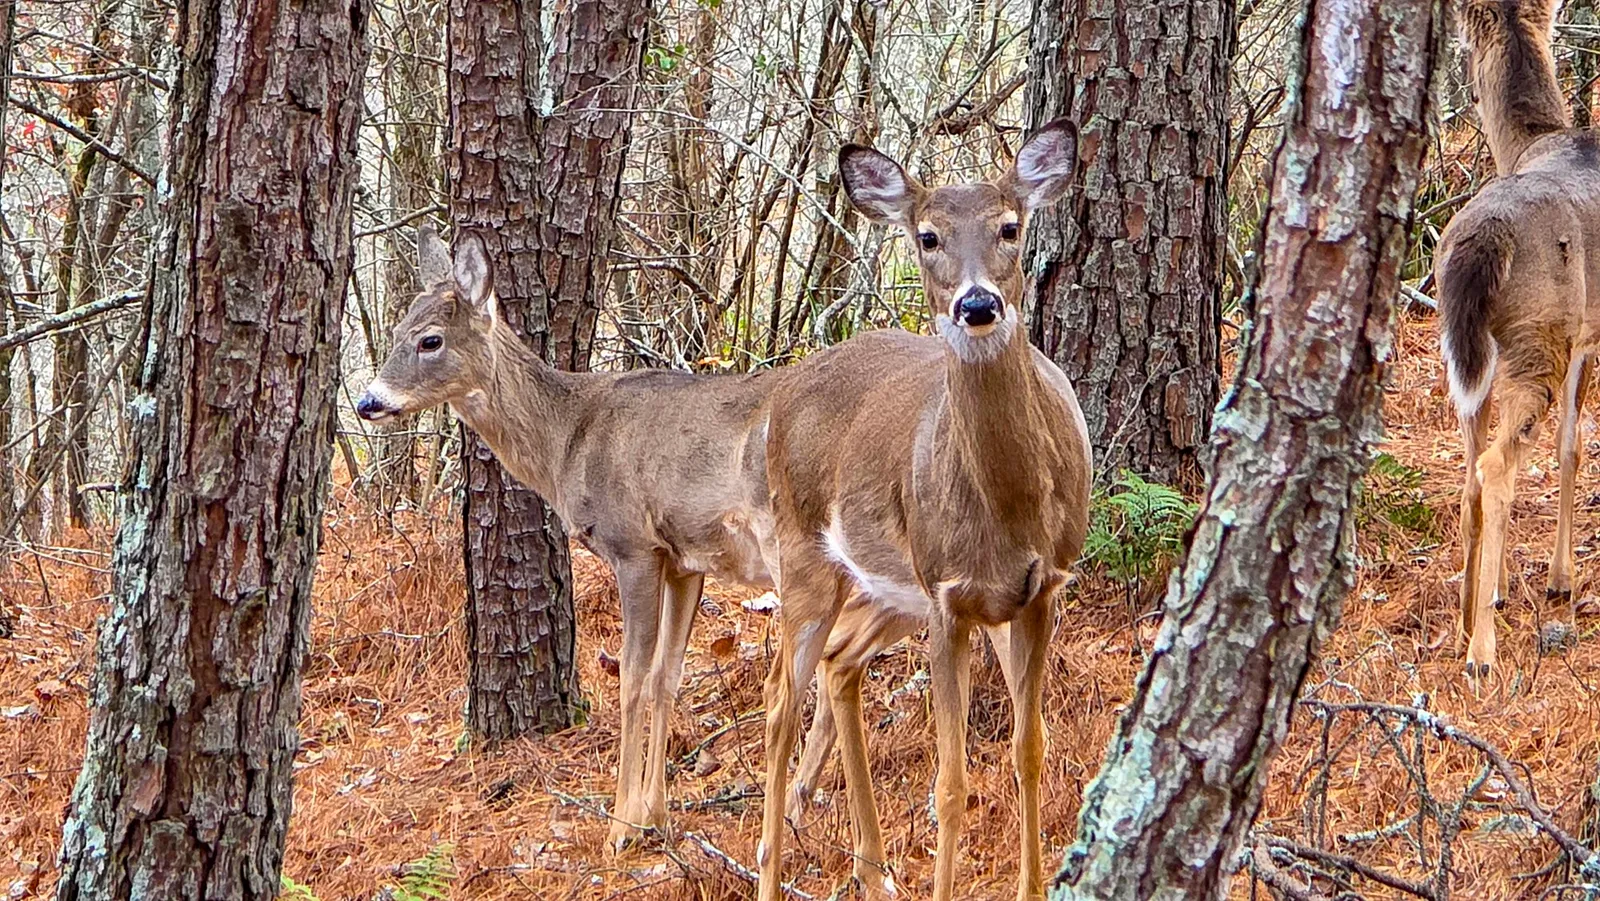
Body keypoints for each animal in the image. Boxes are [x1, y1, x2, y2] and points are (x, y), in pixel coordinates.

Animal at [754, 119, 1091, 901]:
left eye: (1010, 226)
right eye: (928, 236)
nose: (977, 305)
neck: (1010, 508)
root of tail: (781, 392)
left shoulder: (1043, 590)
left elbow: (1029, 751)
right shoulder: (947, 595)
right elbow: (950, 782)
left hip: (888, 587)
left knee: (841, 664)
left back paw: (873, 869)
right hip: (805, 555)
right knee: (780, 701)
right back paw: (771, 870)